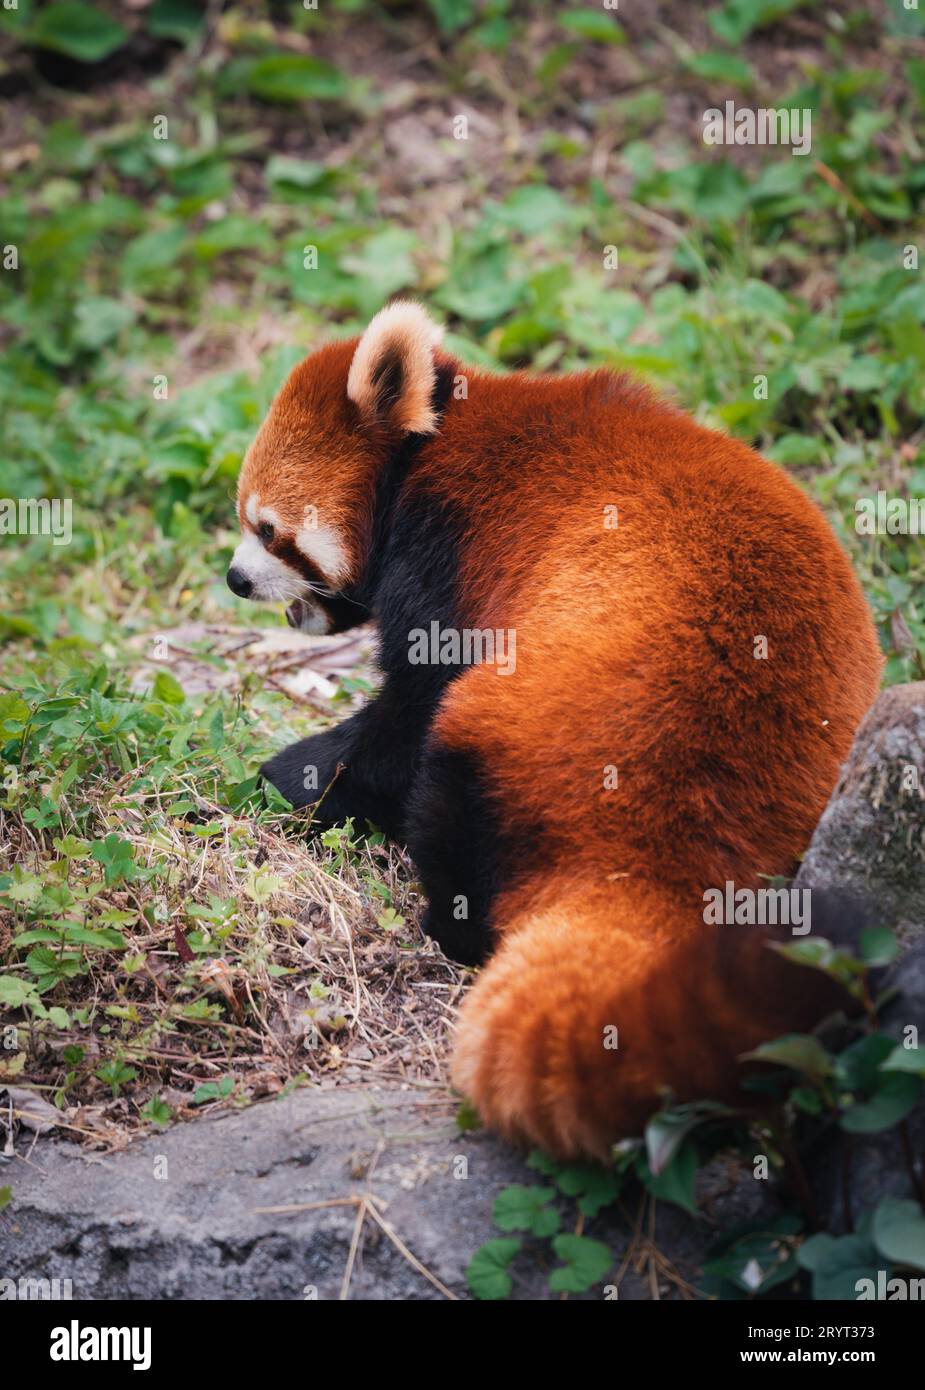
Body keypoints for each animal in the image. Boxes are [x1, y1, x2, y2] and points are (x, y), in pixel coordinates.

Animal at [229, 304, 879, 1162]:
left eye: (267, 528)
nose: (234, 579)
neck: (427, 451)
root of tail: (657, 855)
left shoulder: (449, 553)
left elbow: (403, 719)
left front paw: (288, 777)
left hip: (528, 732)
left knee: (449, 778)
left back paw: (450, 924)